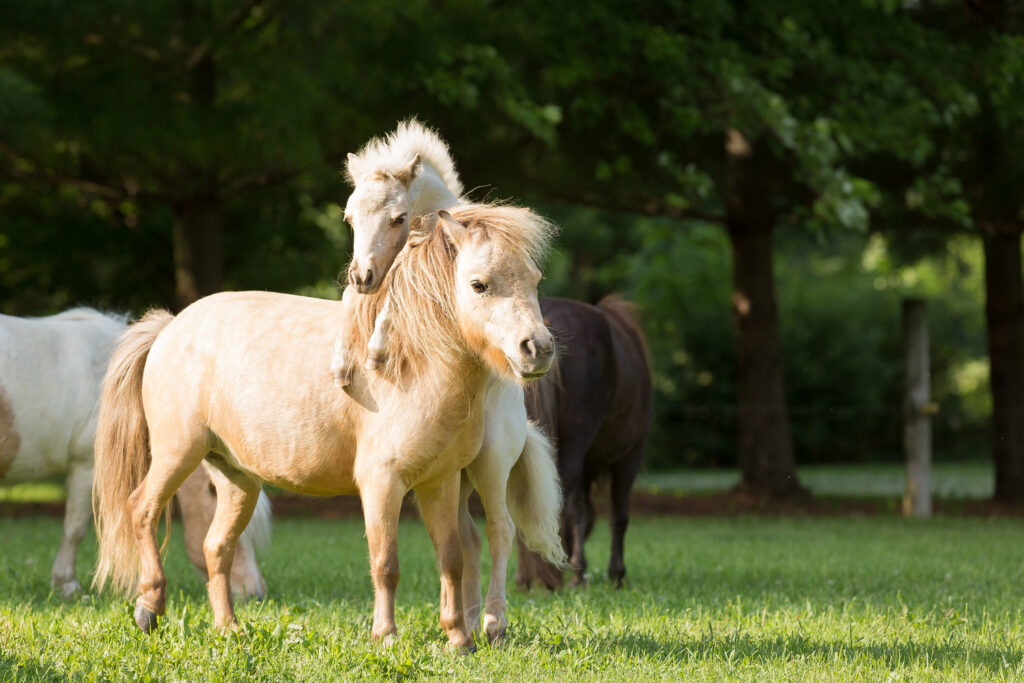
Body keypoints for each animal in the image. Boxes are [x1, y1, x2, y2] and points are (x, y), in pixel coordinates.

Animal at [92, 202, 565, 651]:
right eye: (479, 284)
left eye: (535, 278)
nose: (537, 349)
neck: (411, 361)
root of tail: (170, 327)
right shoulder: (382, 485)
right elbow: (386, 564)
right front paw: (386, 635)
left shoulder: (440, 485)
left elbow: (451, 557)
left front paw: (458, 641)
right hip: (177, 454)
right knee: (142, 510)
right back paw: (149, 607)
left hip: (237, 479)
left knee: (216, 547)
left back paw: (229, 628)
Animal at [331, 120, 565, 643]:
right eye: (349, 218)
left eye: (397, 217)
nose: (362, 275)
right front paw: (344, 360)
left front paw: (375, 350)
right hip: (453, 478)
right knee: (470, 541)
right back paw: (470, 621)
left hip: (491, 466)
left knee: (500, 532)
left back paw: (494, 622)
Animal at [516, 296, 651, 589]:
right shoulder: (630, 456)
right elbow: (616, 515)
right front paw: (615, 574)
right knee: (569, 507)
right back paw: (572, 575)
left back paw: (525, 578)